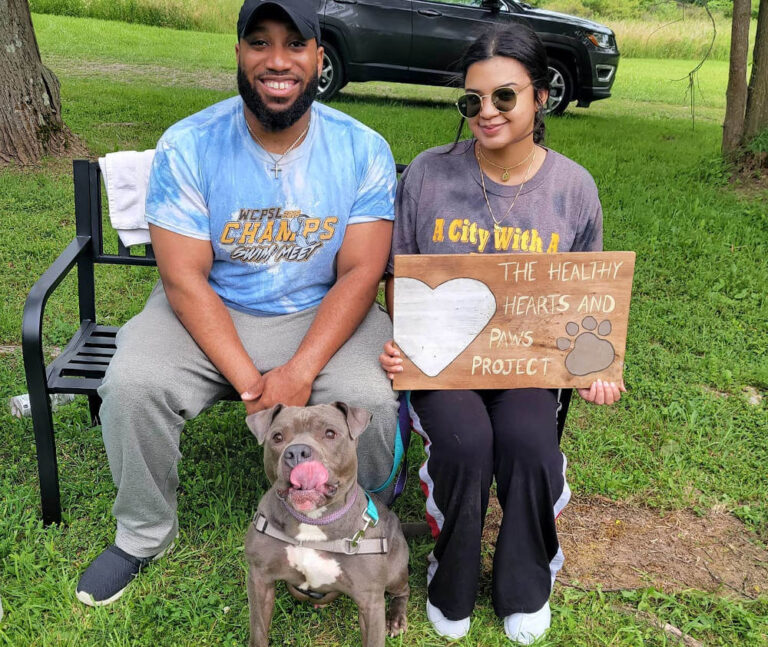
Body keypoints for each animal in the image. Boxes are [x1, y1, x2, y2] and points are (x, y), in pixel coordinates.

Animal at [248, 402, 414, 644]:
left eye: (330, 434)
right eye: (277, 437)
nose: (296, 452)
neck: (312, 520)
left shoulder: (370, 600)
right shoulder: (260, 579)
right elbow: (259, 632)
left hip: (395, 571)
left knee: (403, 590)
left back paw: (396, 619)